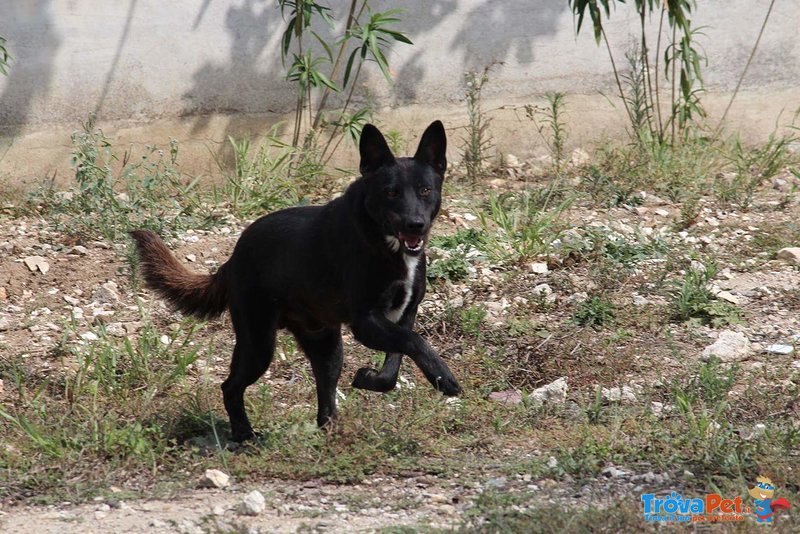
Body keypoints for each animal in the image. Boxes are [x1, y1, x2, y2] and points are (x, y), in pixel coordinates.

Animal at [132, 122, 462, 444]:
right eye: (391, 192)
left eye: (425, 190)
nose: (415, 225)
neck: (383, 241)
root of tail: (232, 259)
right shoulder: (366, 321)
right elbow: (415, 341)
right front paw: (445, 379)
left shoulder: (403, 316)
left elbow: (396, 362)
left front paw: (370, 378)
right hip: (258, 344)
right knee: (230, 386)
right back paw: (245, 435)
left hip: (326, 346)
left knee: (324, 395)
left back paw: (330, 433)